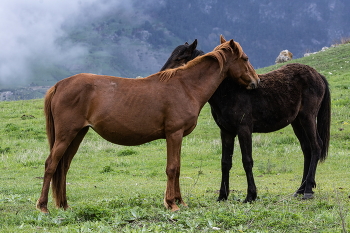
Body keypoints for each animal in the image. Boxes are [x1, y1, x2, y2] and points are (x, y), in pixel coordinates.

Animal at [36, 36, 260, 213]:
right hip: (66, 135)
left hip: (77, 134)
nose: (256, 82)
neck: (186, 86)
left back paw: (64, 205)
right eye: (246, 59)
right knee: (51, 164)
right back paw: (43, 206)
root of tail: (60, 85)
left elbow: (178, 168)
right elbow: (172, 168)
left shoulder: (177, 136)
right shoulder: (174, 134)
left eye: (179, 58)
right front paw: (171, 203)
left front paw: (180, 201)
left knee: (63, 166)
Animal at [161, 36, 330, 202]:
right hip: (297, 122)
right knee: (307, 149)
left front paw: (251, 195)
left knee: (316, 146)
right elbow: (225, 162)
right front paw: (222, 195)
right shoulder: (226, 132)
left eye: (179, 58)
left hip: (308, 117)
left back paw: (308, 190)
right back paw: (300, 190)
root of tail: (318, 75)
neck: (230, 91)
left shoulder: (244, 130)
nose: (162, 75)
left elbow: (247, 161)